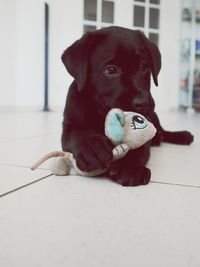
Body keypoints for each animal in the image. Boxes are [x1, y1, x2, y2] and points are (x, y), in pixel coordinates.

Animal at [61, 26, 194, 186]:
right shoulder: (68, 127)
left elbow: (139, 144)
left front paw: (130, 166)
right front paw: (92, 148)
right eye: (111, 70)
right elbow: (78, 134)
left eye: (144, 66)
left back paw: (182, 135)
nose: (142, 103)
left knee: (162, 131)